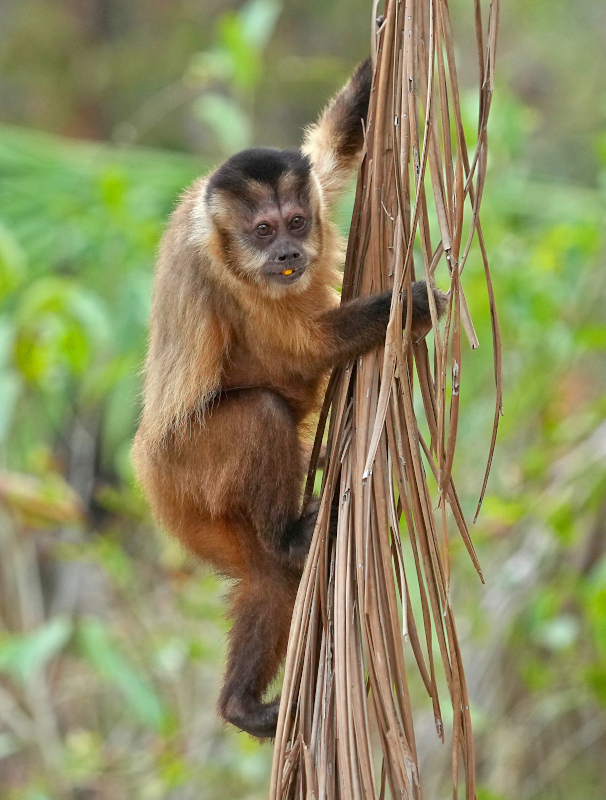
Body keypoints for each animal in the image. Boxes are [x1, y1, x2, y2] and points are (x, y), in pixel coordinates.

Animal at [133, 58, 447, 739]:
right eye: (262, 231)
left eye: (296, 222)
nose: (287, 253)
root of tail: (142, 462)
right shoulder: (226, 276)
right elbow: (299, 355)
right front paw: (407, 306)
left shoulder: (314, 197)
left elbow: (328, 157)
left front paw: (371, 80)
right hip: (180, 472)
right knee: (260, 414)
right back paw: (285, 538)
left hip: (201, 517)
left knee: (266, 579)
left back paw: (239, 704)